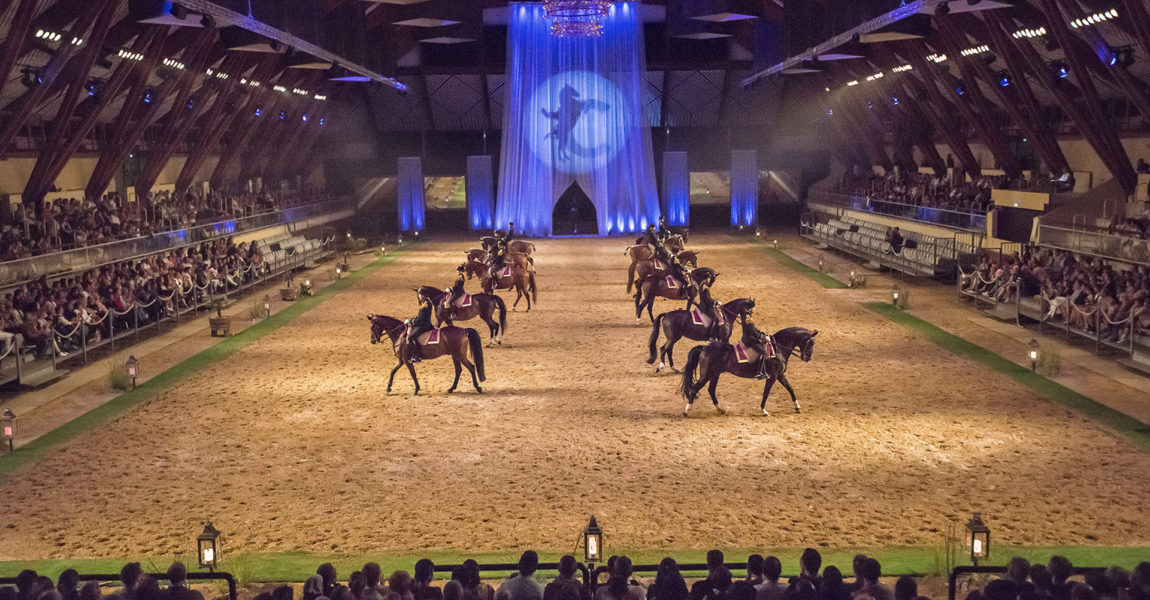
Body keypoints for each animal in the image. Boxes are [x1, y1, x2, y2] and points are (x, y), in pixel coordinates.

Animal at [676, 326, 823, 416]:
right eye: (811, 342)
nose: (808, 358)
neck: (778, 348)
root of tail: (704, 348)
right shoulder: (773, 376)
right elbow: (766, 393)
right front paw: (763, 411)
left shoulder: (780, 375)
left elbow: (790, 389)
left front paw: (797, 407)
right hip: (706, 374)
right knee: (695, 388)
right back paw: (686, 411)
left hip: (715, 374)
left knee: (711, 389)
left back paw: (720, 409)